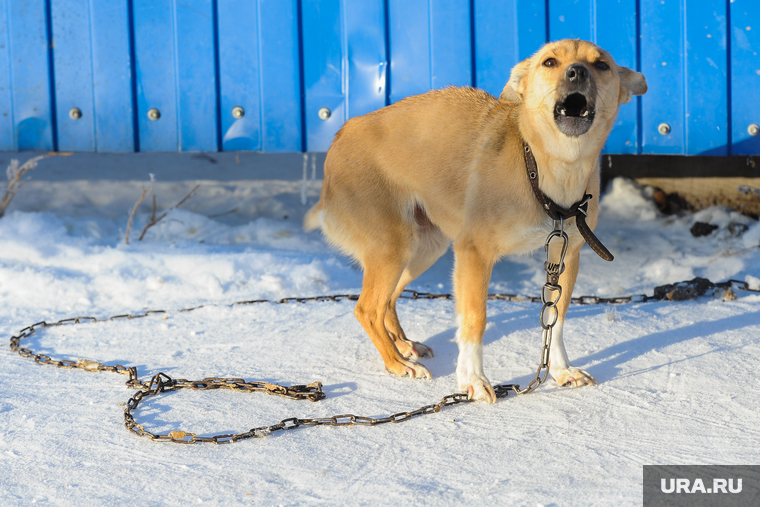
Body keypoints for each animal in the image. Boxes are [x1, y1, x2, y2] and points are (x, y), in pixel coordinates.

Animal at [302, 39, 648, 402]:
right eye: (550, 62)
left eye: (601, 65)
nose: (577, 72)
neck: (548, 169)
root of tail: (341, 134)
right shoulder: (474, 255)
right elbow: (474, 321)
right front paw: (473, 380)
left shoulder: (566, 256)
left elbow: (557, 319)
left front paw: (562, 370)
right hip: (394, 247)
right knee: (367, 308)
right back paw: (397, 364)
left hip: (425, 247)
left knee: (389, 300)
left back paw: (404, 346)